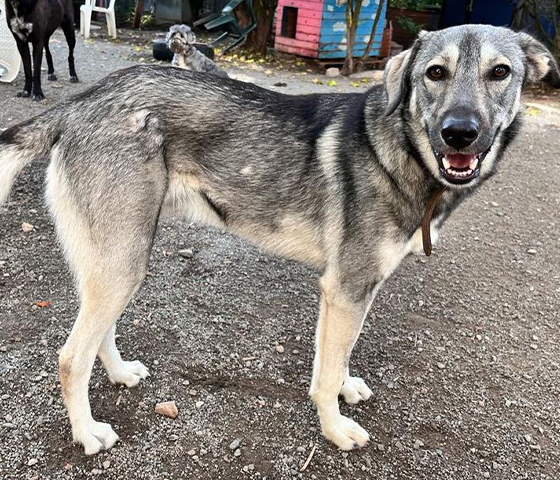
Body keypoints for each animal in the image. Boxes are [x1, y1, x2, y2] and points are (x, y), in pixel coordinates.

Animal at [0, 25, 558, 455]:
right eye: (435, 73)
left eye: (500, 73)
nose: (459, 133)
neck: (398, 148)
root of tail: (80, 104)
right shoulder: (345, 289)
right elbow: (325, 375)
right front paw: (335, 430)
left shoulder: (348, 293)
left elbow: (336, 358)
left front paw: (345, 389)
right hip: (123, 261)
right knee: (71, 357)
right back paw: (87, 433)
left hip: (117, 259)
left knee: (98, 334)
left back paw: (119, 375)